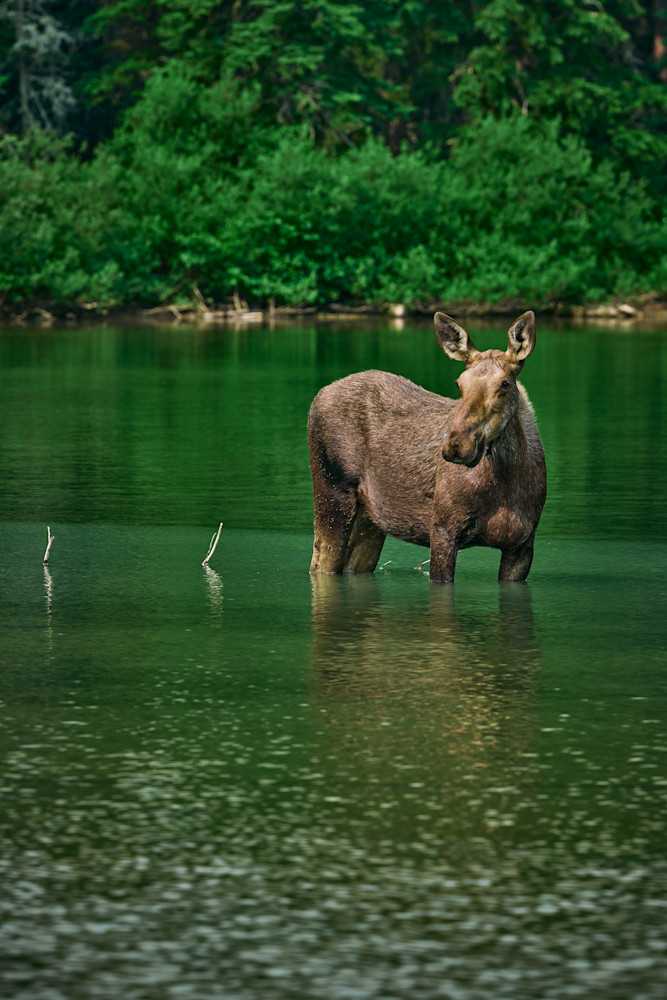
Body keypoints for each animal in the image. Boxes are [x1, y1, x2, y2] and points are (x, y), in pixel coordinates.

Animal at [307, 311, 546, 583]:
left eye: (505, 383)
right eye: (459, 383)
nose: (457, 444)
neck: (506, 481)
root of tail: (319, 395)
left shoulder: (523, 545)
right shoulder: (442, 529)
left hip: (370, 519)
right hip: (331, 491)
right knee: (319, 563)